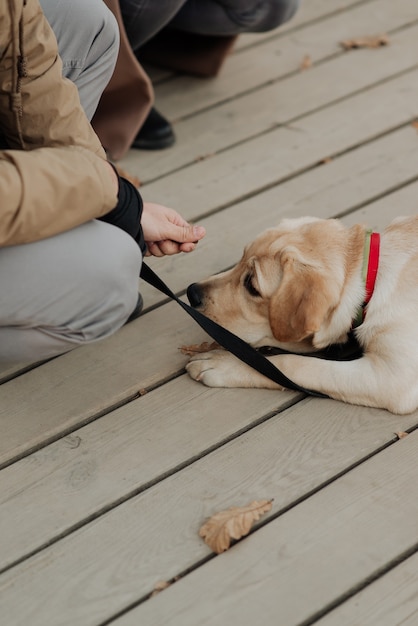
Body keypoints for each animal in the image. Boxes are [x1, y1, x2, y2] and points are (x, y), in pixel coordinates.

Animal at [187, 214, 418, 414]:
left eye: (251, 285)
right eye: (240, 260)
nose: (191, 293)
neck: (373, 276)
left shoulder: (392, 378)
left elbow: (290, 364)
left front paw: (221, 363)